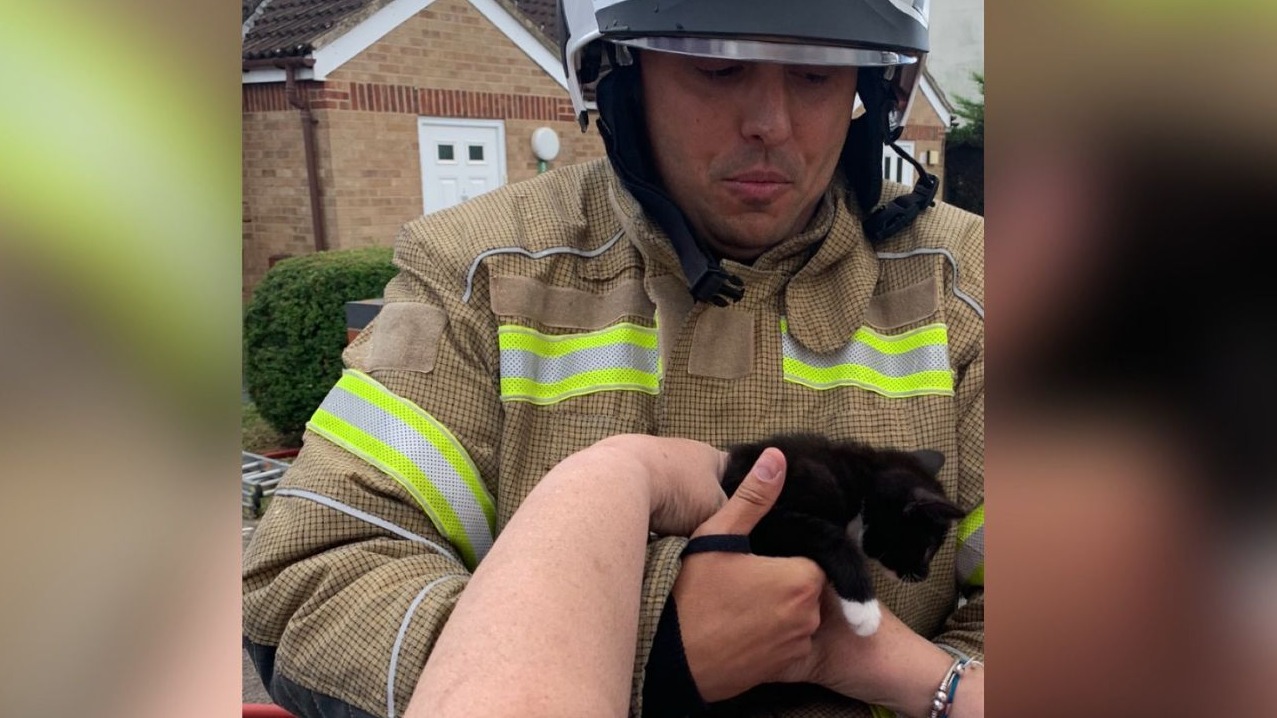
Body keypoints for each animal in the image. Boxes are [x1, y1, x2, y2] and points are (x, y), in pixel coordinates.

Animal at [725, 429, 960, 631]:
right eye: (929, 548)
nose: (924, 575)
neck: (862, 486)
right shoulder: (770, 519)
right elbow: (826, 536)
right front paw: (864, 608)